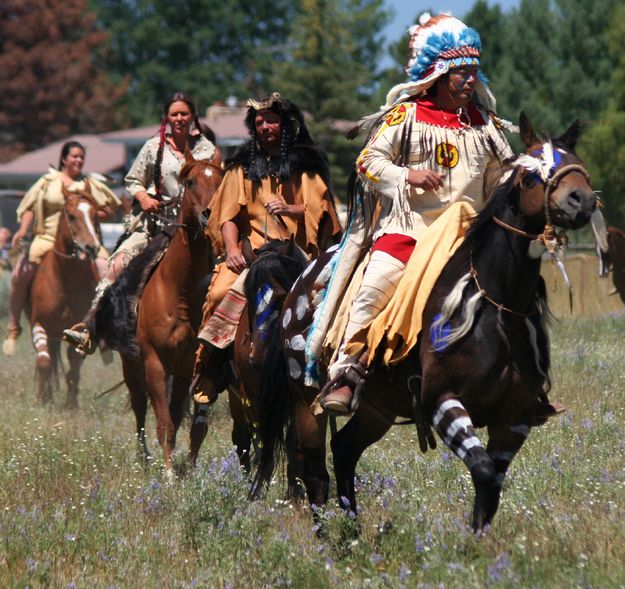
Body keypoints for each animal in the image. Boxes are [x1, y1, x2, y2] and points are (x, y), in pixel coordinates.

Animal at [29, 184, 101, 408]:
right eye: (72, 216)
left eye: (95, 215)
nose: (91, 247)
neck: (65, 280)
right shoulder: (39, 325)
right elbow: (44, 363)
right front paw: (39, 401)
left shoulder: (77, 330)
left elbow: (73, 372)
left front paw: (71, 406)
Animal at [118, 157, 223, 474]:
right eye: (191, 181)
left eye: (221, 180)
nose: (209, 214)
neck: (182, 294)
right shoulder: (154, 363)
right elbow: (163, 422)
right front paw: (167, 475)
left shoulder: (193, 367)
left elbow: (189, 424)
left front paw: (190, 470)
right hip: (131, 365)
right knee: (140, 409)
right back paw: (144, 457)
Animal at [252, 112, 596, 532]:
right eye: (532, 174)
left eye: (575, 162)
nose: (582, 199)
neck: (493, 304)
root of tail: (299, 281)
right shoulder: (443, 400)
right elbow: (483, 472)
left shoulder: (514, 420)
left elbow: (491, 487)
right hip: (305, 401)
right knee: (316, 474)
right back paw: (330, 538)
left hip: (376, 409)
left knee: (345, 451)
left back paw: (353, 532)